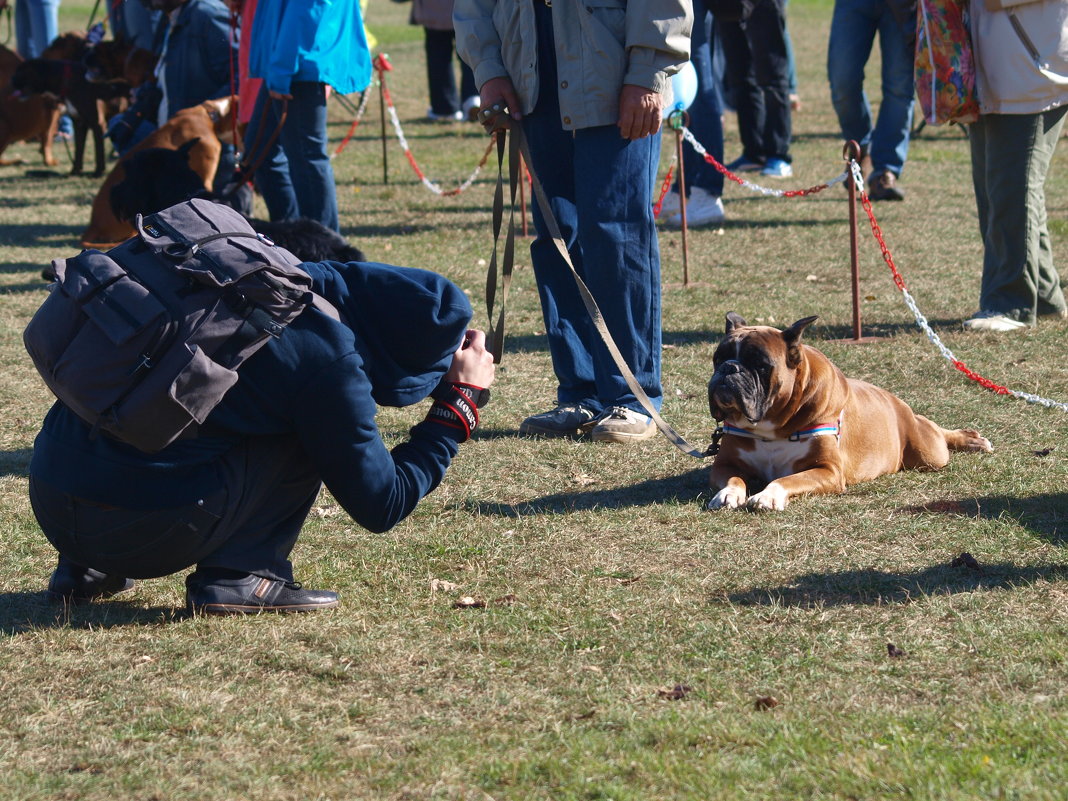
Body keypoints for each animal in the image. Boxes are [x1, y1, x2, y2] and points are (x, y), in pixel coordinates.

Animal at [709, 309, 991, 510]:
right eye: (717, 359)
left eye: (760, 364)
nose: (729, 368)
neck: (771, 426)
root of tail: (894, 400)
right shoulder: (725, 463)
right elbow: (735, 479)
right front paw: (728, 493)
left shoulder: (829, 470)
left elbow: (787, 479)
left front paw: (768, 495)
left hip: (928, 453)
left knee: (934, 431)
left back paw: (970, 439)